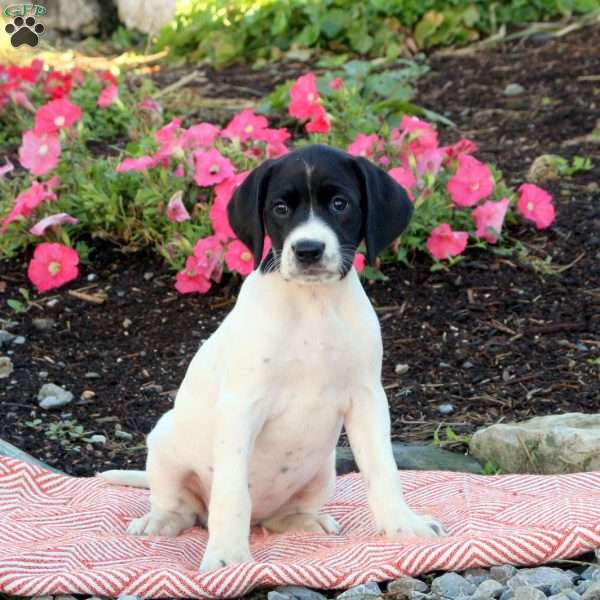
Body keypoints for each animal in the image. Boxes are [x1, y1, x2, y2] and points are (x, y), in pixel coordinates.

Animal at [101, 144, 446, 572]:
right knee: (183, 507)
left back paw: (305, 522)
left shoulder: (367, 400)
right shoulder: (242, 406)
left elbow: (384, 470)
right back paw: (162, 520)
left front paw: (403, 524)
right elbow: (231, 492)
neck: (312, 304)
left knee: (280, 516)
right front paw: (227, 555)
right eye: (280, 208)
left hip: (322, 469)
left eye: (339, 203)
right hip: (165, 445)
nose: (308, 250)